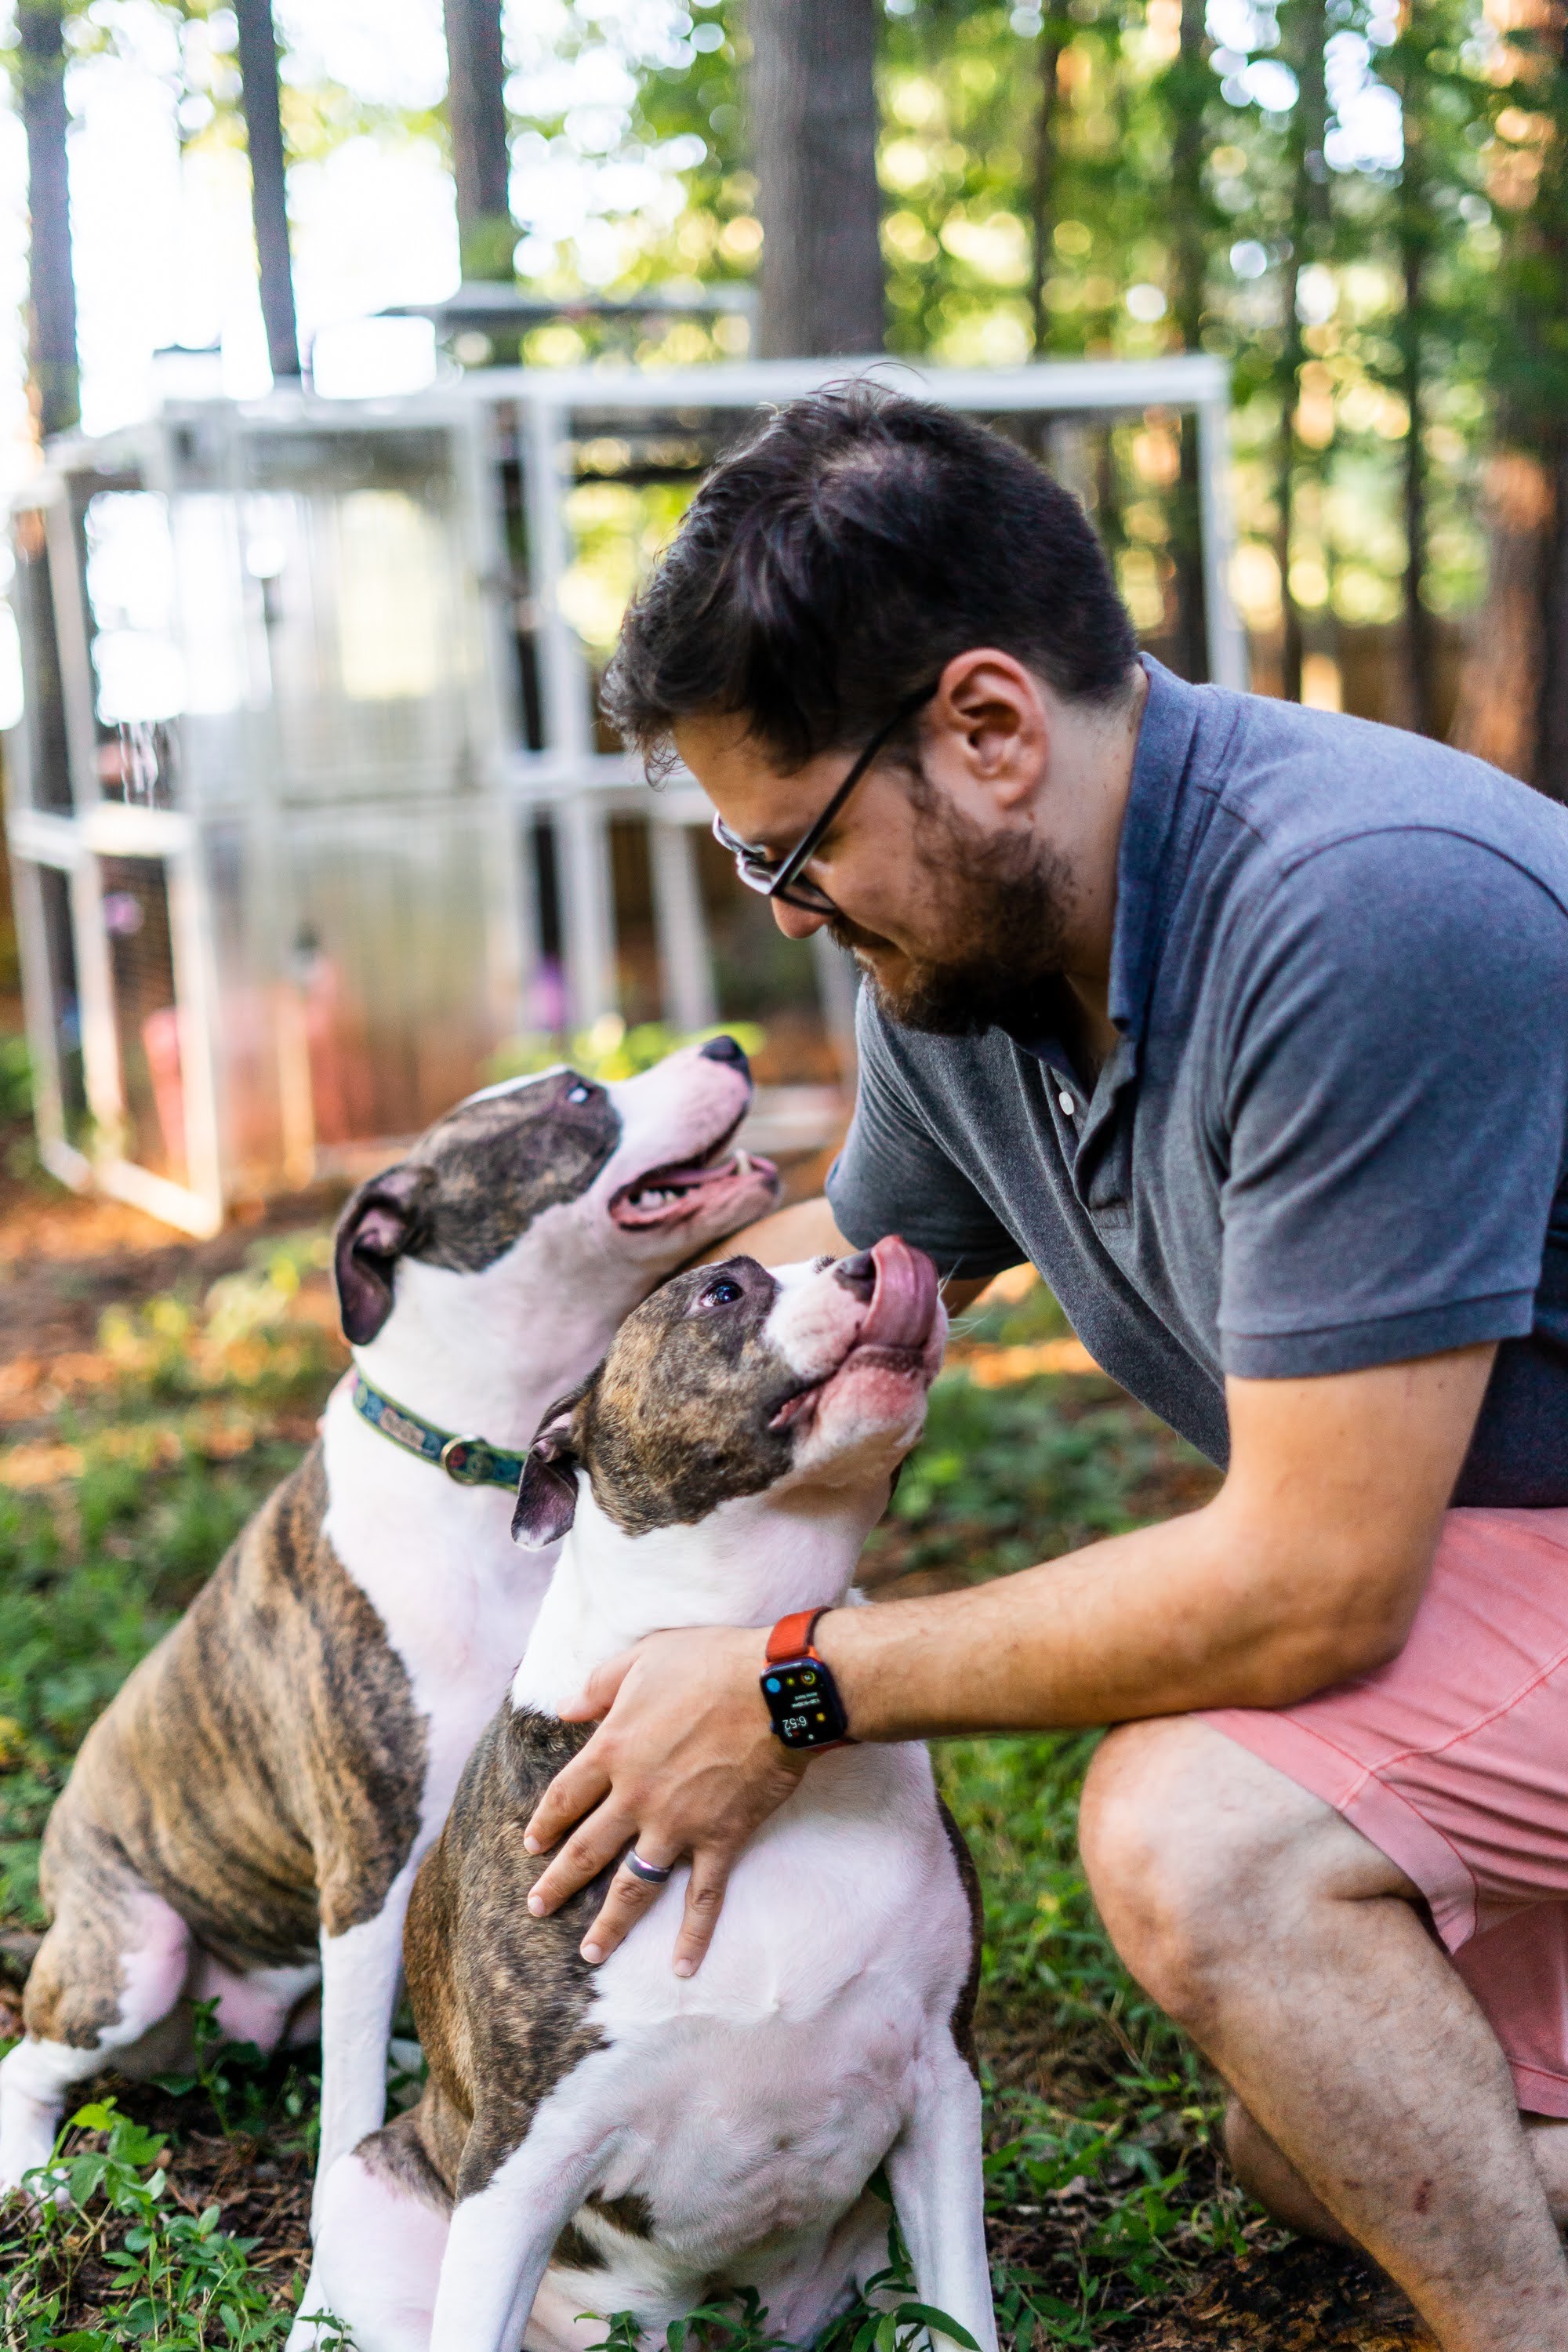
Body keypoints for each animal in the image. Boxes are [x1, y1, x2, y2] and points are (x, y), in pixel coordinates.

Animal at [0, 1040, 780, 2211]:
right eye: (577, 1094)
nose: (727, 1046)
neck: (478, 1461)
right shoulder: (367, 1867)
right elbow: (355, 2096)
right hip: (133, 1956)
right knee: (34, 2055)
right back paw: (33, 2167)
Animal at [293, 1232, 992, 2352]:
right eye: (722, 1290)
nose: (877, 1260)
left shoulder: (939, 2088)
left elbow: (968, 2304)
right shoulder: (523, 2157)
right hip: (375, 2191)